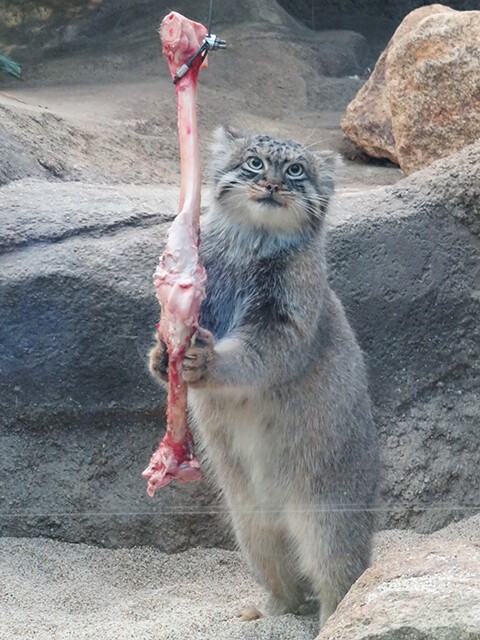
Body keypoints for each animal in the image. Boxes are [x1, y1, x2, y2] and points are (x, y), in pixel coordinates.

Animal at [150, 126, 378, 632]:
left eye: (295, 170)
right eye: (254, 162)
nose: (272, 184)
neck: (252, 243)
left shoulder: (284, 324)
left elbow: (256, 357)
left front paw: (207, 364)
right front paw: (161, 357)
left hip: (327, 516)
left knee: (338, 576)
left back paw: (331, 622)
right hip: (249, 526)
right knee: (285, 581)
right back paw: (268, 612)